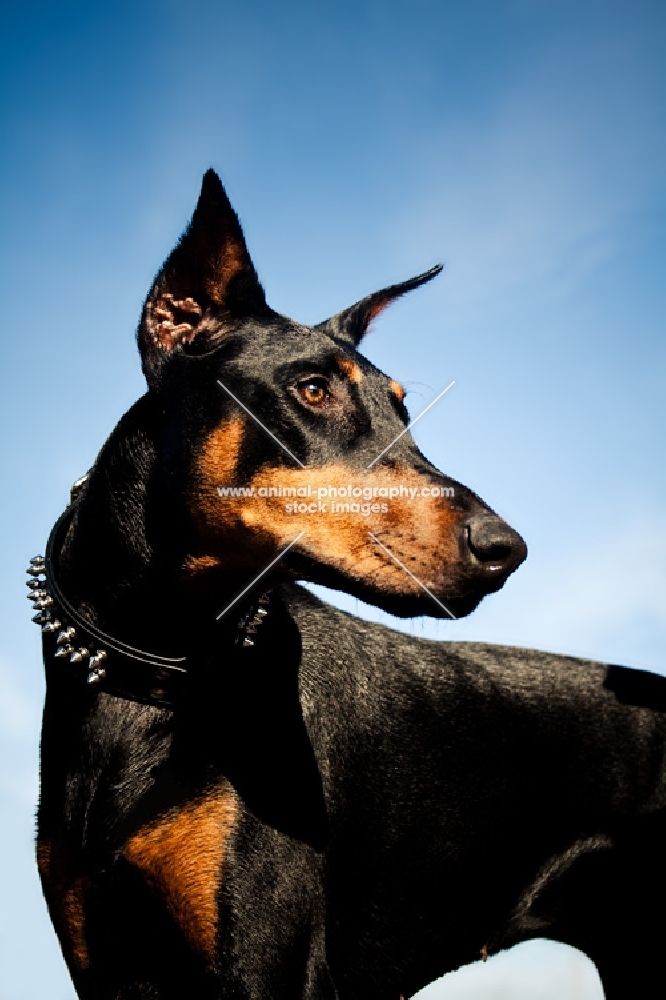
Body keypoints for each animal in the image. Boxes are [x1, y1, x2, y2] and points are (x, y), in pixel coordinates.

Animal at [33, 172, 664, 1000]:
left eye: (404, 406)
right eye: (311, 389)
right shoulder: (105, 962)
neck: (157, 664)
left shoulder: (264, 967)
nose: (507, 549)